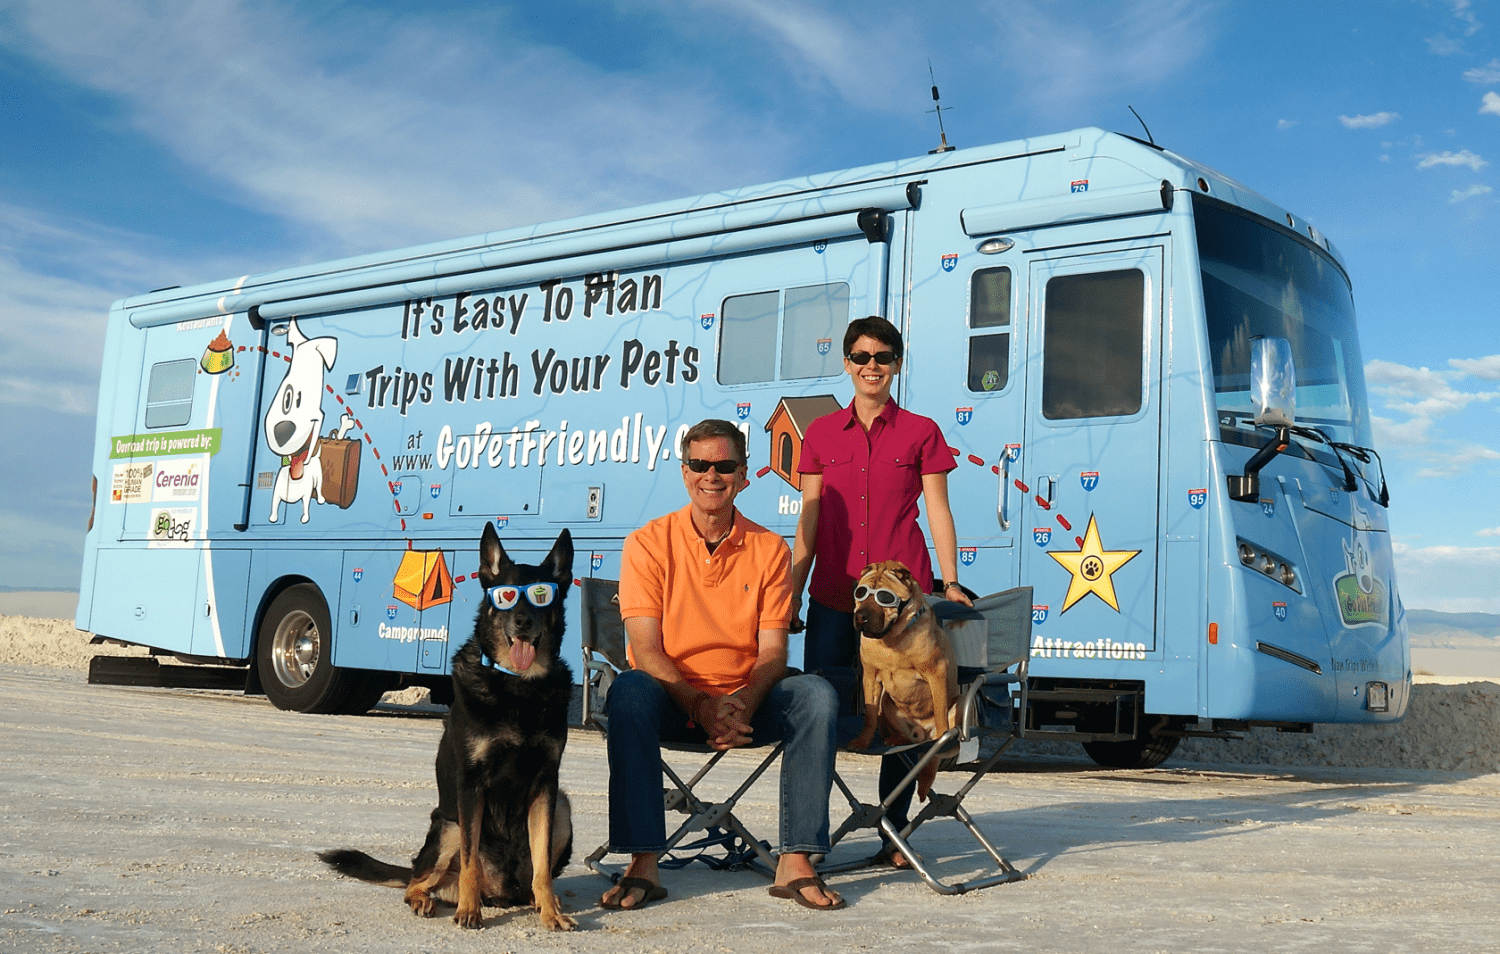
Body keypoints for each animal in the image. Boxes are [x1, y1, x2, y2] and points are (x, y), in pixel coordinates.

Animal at [322, 522, 579, 930]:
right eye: (506, 596)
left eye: (542, 597)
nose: (523, 622)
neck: (518, 685)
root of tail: (501, 893)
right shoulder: (471, 784)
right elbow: (471, 861)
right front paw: (469, 913)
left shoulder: (545, 784)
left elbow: (541, 867)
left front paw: (551, 913)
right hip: (449, 825)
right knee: (416, 879)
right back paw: (429, 901)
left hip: (563, 809)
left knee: (531, 879)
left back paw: (539, 902)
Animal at [846, 555, 960, 804]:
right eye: (861, 593)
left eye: (884, 597)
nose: (861, 616)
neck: (892, 639)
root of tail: (922, 732)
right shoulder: (870, 676)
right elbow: (869, 716)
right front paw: (862, 742)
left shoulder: (936, 672)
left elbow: (940, 715)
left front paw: (942, 739)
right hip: (888, 704)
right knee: (904, 736)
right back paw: (895, 740)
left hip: (958, 704)